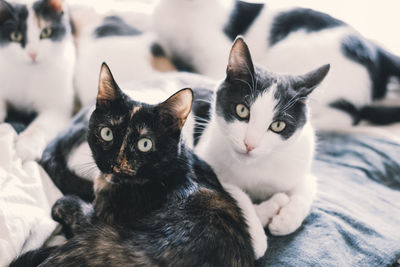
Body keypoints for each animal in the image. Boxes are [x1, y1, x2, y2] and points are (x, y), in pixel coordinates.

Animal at [0, 0, 75, 160]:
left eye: (46, 32)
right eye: (16, 35)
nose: (32, 54)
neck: (29, 73)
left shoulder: (58, 107)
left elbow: (40, 125)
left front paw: (27, 146)